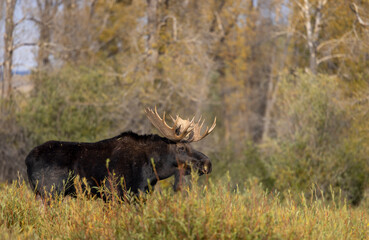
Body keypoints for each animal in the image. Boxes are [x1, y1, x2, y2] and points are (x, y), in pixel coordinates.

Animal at [25, 107, 216, 199]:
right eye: (181, 148)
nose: (208, 163)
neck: (151, 172)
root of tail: (27, 159)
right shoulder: (114, 192)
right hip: (49, 191)